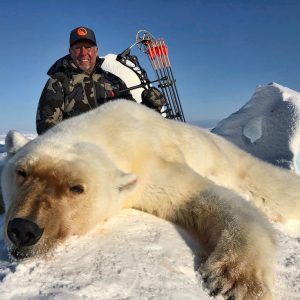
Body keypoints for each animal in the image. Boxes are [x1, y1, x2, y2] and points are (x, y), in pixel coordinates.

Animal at [1, 101, 300, 300]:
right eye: (22, 172)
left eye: (77, 188)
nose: (24, 229)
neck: (108, 130)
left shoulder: (151, 165)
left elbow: (204, 196)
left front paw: (236, 281)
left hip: (230, 159)